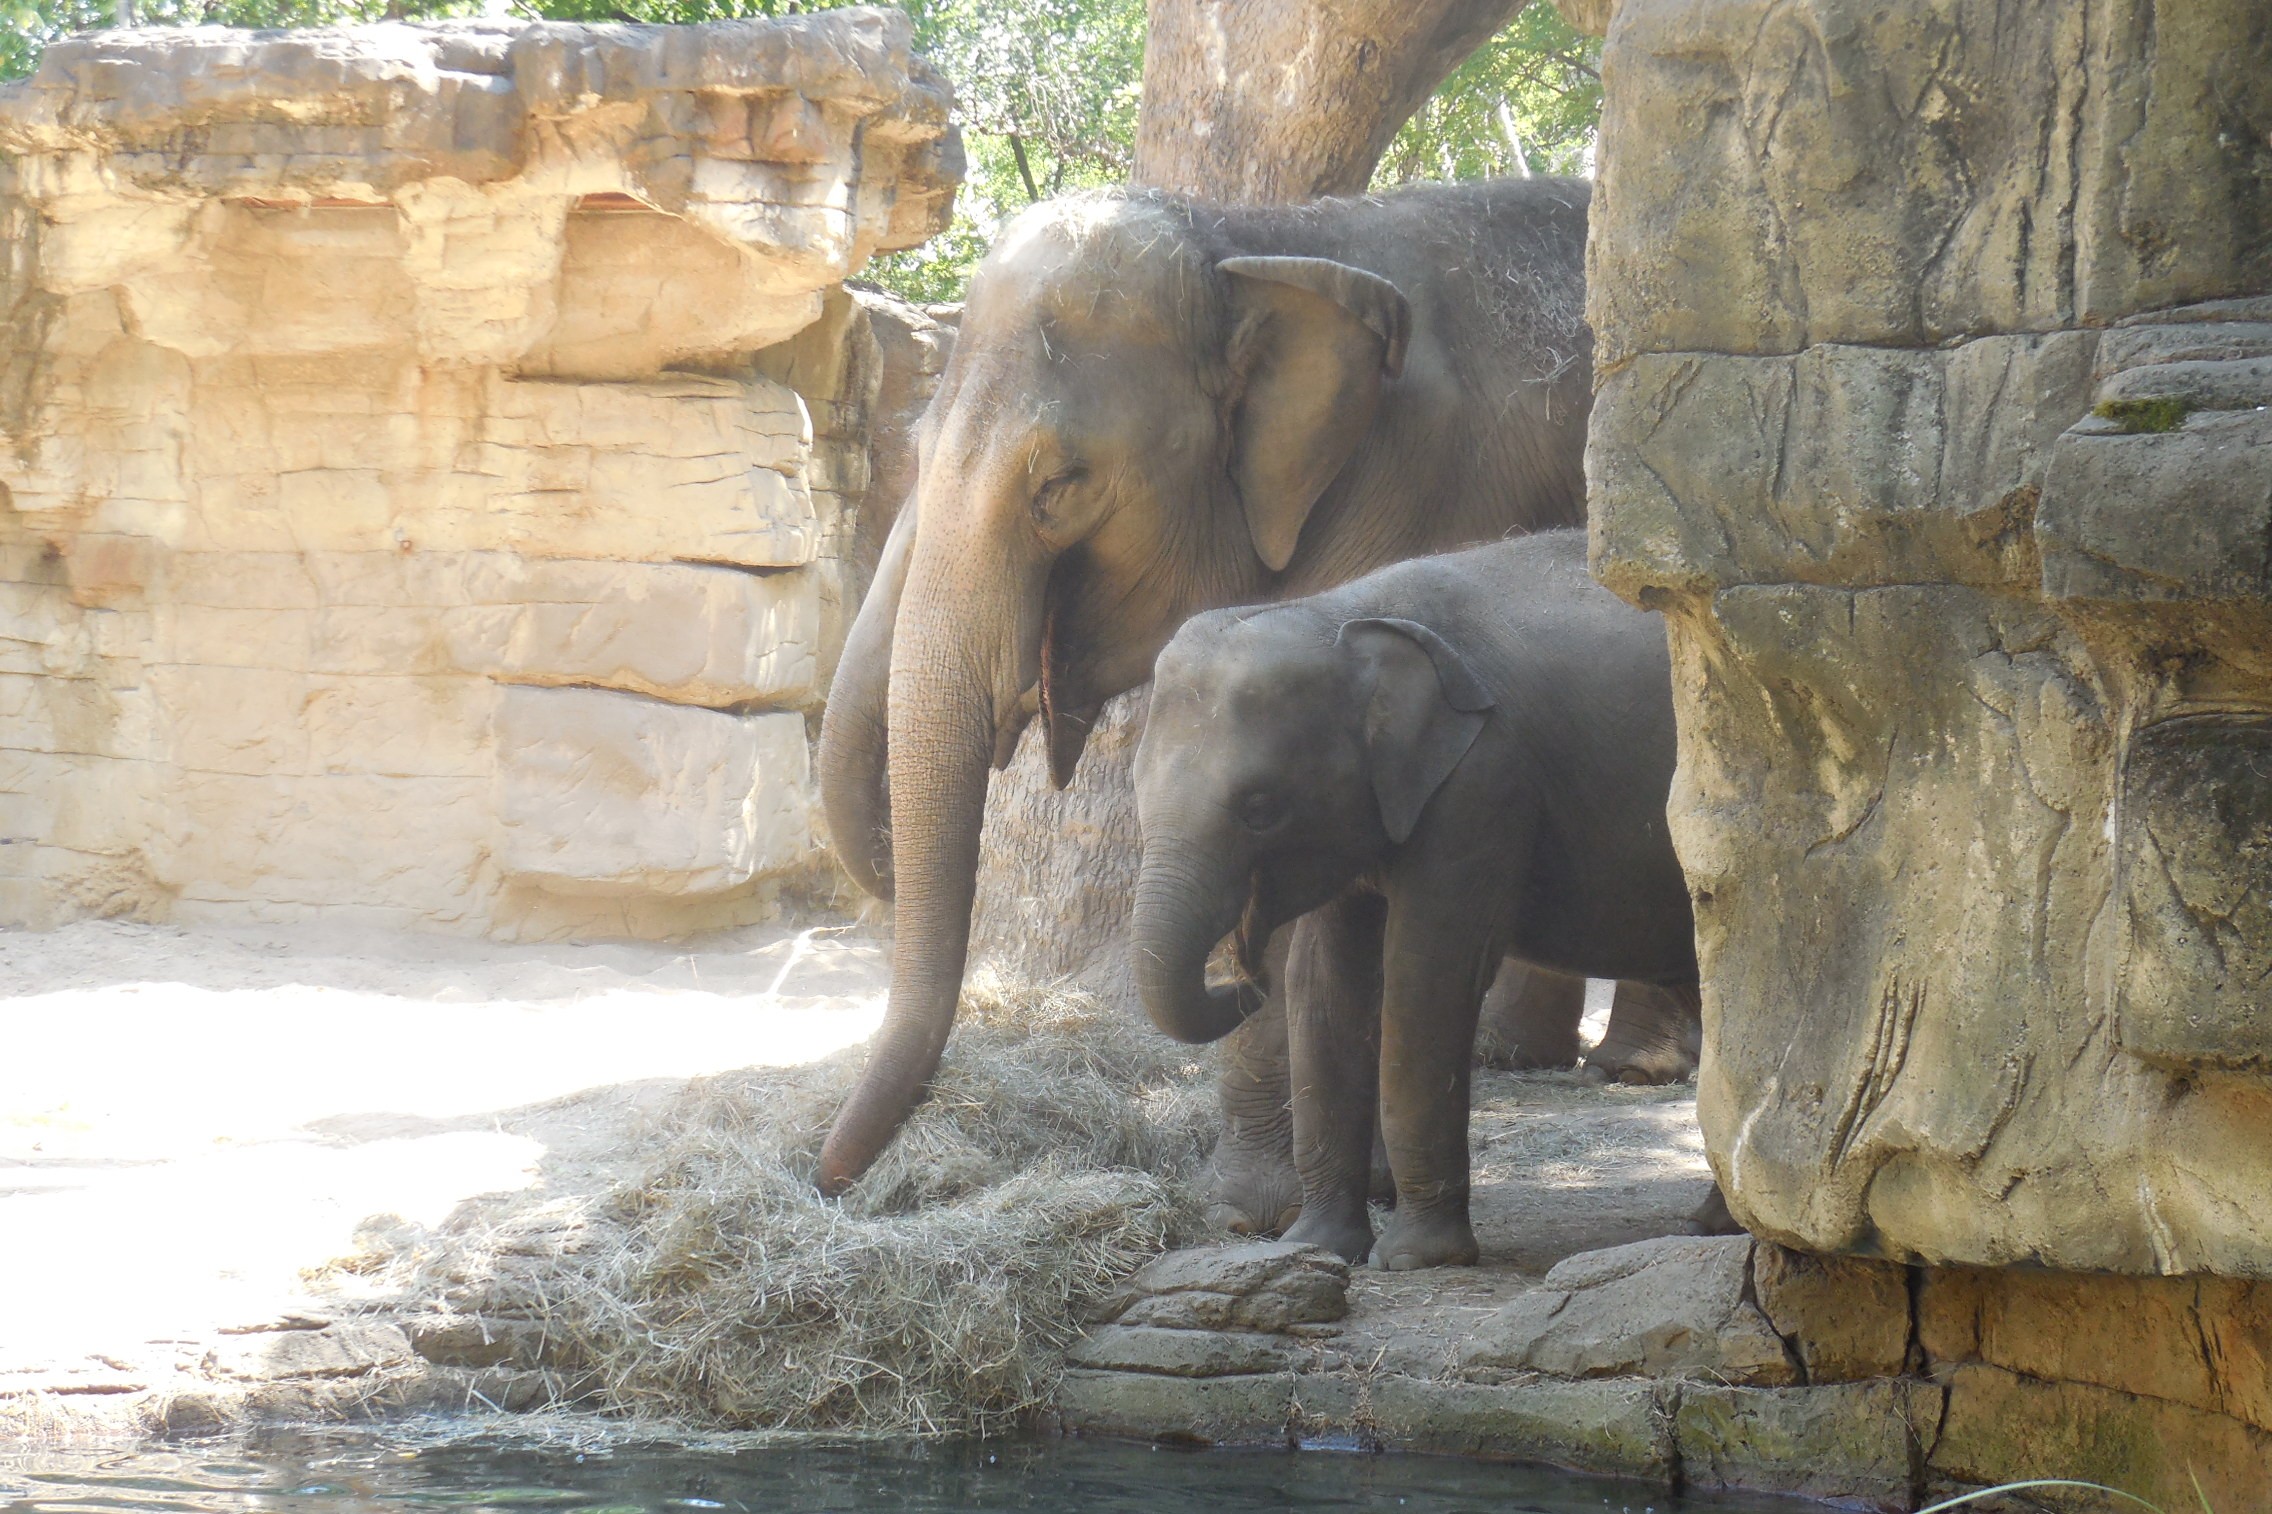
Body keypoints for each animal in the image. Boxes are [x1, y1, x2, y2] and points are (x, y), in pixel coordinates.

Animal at [1129, 530, 1700, 1269]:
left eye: (1260, 809)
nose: (1240, 978)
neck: (1341, 615)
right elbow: (1326, 985)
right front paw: (1317, 1246)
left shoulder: (1483, 782)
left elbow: (1427, 977)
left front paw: (1413, 1259)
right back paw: (1710, 1225)